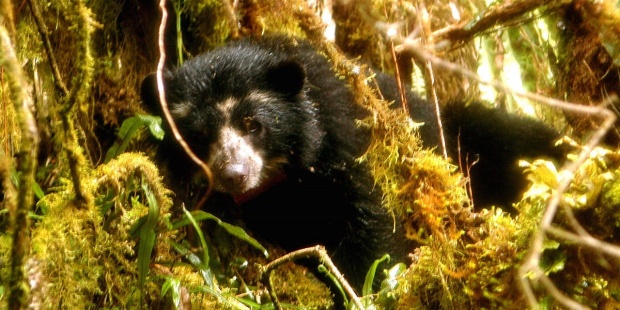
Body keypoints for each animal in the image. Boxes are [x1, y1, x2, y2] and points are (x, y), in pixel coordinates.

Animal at [140, 35, 568, 296]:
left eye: (252, 124)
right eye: (198, 136)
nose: (235, 175)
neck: (284, 175)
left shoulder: (349, 142)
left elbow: (372, 225)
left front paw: (360, 287)